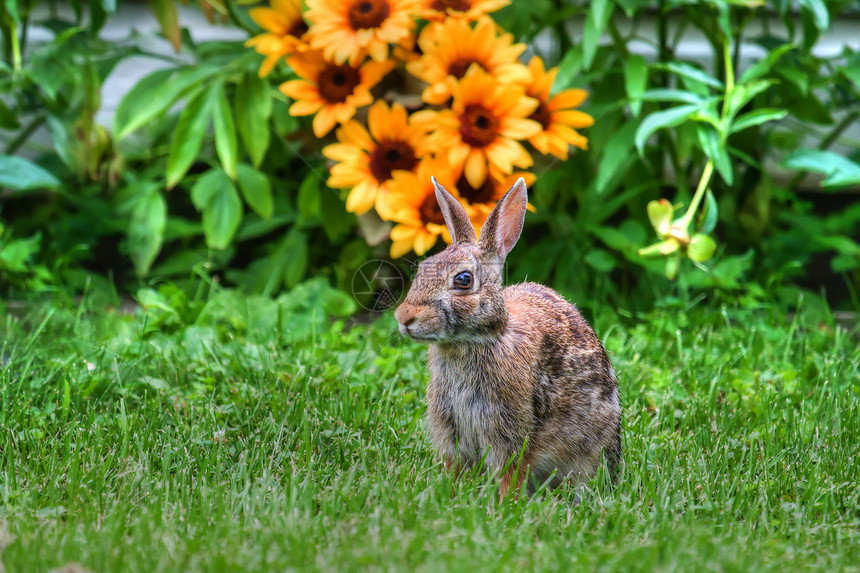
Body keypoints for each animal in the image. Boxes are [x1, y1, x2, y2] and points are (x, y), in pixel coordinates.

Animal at [394, 177, 620, 498]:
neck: (473, 342)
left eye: (464, 280)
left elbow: (509, 472)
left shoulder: (508, 431)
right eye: (423, 268)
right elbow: (455, 469)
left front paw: (505, 503)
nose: (404, 317)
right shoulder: (451, 431)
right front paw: (449, 493)